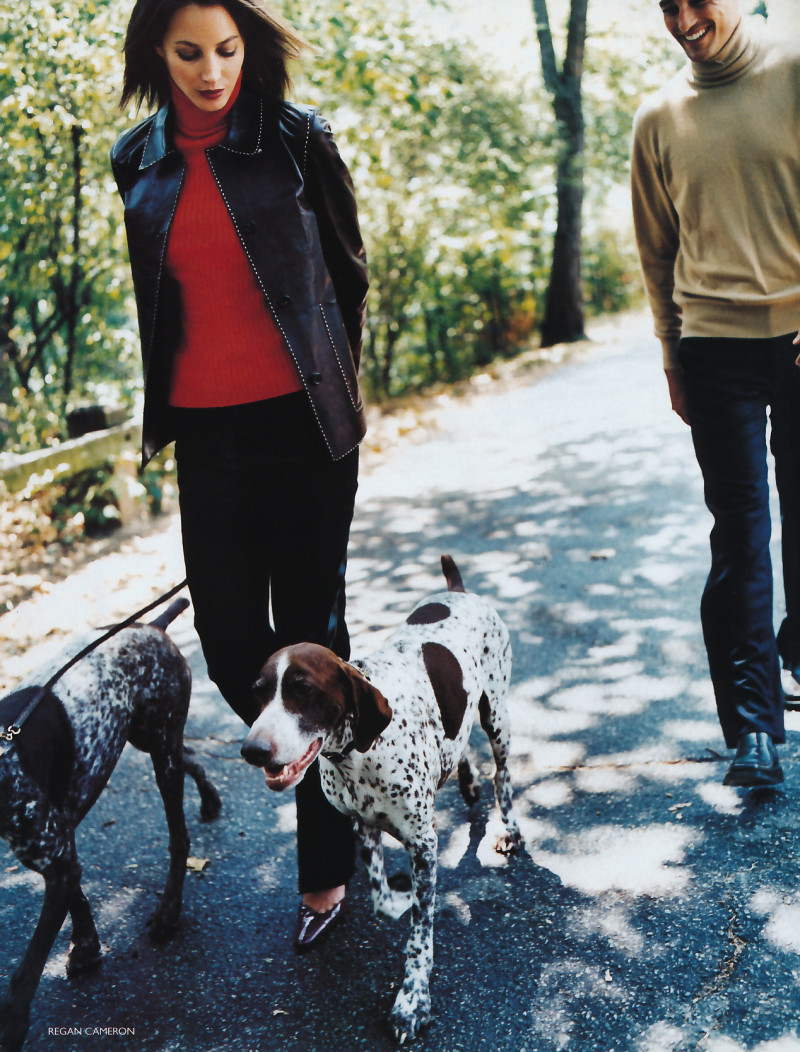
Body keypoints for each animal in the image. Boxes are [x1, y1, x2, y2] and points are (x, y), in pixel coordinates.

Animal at [0, 601, 220, 1052]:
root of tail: (151, 627)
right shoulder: (60, 853)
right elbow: (78, 900)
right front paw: (86, 948)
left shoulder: (56, 858)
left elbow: (26, 970)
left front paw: (11, 1024)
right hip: (150, 740)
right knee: (192, 758)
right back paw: (209, 801)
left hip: (161, 749)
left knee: (179, 838)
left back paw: (169, 914)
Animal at [241, 555, 522, 1047]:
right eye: (259, 692)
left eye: (303, 690)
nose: (252, 750)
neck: (357, 755)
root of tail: (458, 591)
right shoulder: (363, 824)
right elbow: (377, 896)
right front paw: (400, 899)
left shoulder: (424, 845)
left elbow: (419, 938)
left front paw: (412, 1002)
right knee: (459, 740)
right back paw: (465, 779)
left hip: (497, 714)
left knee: (501, 774)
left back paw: (507, 826)